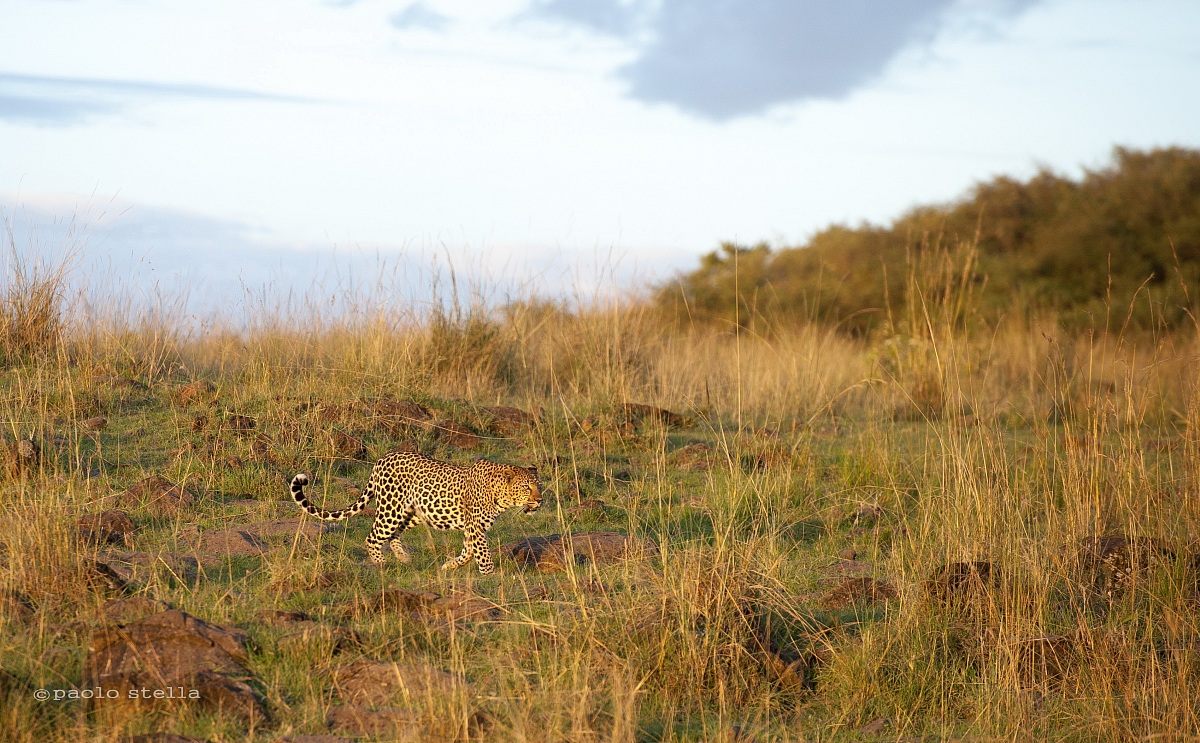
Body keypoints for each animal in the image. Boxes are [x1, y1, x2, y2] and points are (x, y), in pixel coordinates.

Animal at [290, 450, 541, 575]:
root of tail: (381, 459)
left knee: (393, 535)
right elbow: (482, 553)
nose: (539, 500)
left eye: (539, 485)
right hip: (391, 509)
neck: (500, 495)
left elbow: (469, 551)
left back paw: (404, 558)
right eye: (527, 487)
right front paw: (490, 575)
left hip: (411, 513)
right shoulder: (475, 527)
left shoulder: (474, 528)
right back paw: (382, 564)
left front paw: (450, 565)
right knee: (373, 537)